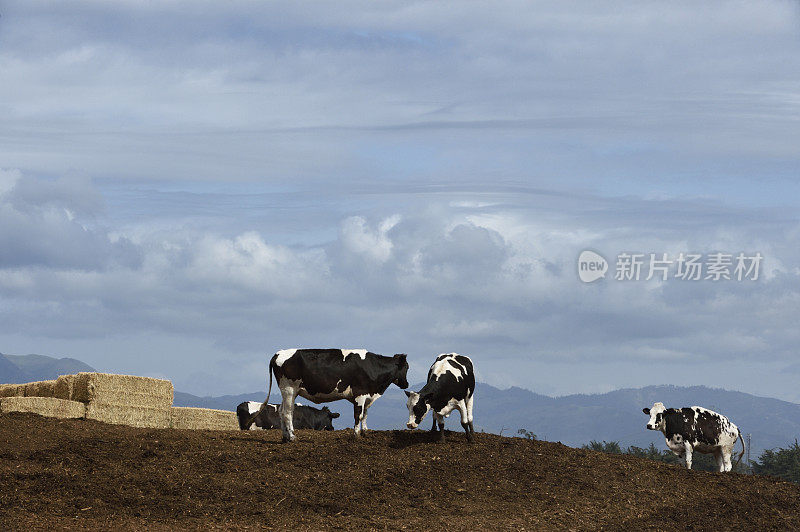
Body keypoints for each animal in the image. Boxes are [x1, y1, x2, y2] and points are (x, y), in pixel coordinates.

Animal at [248, 348, 410, 442]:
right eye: (407, 368)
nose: (406, 384)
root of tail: (278, 353)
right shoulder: (360, 394)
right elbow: (358, 415)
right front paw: (356, 435)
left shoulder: (368, 396)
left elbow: (365, 414)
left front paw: (365, 432)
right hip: (289, 389)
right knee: (288, 413)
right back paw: (293, 437)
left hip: (288, 391)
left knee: (282, 411)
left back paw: (284, 437)